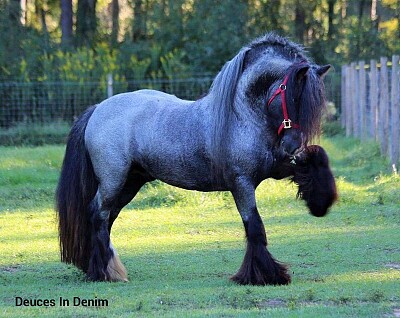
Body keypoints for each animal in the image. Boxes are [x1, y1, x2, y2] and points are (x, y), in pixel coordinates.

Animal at [56, 33, 338, 286]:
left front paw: (320, 202)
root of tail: (98, 109)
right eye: (290, 95)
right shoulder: (242, 182)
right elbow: (255, 226)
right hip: (113, 181)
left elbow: (316, 158)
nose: (292, 145)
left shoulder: (275, 168)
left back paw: (103, 267)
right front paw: (265, 276)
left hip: (130, 183)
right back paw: (104, 272)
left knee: (107, 219)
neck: (243, 115)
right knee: (98, 215)